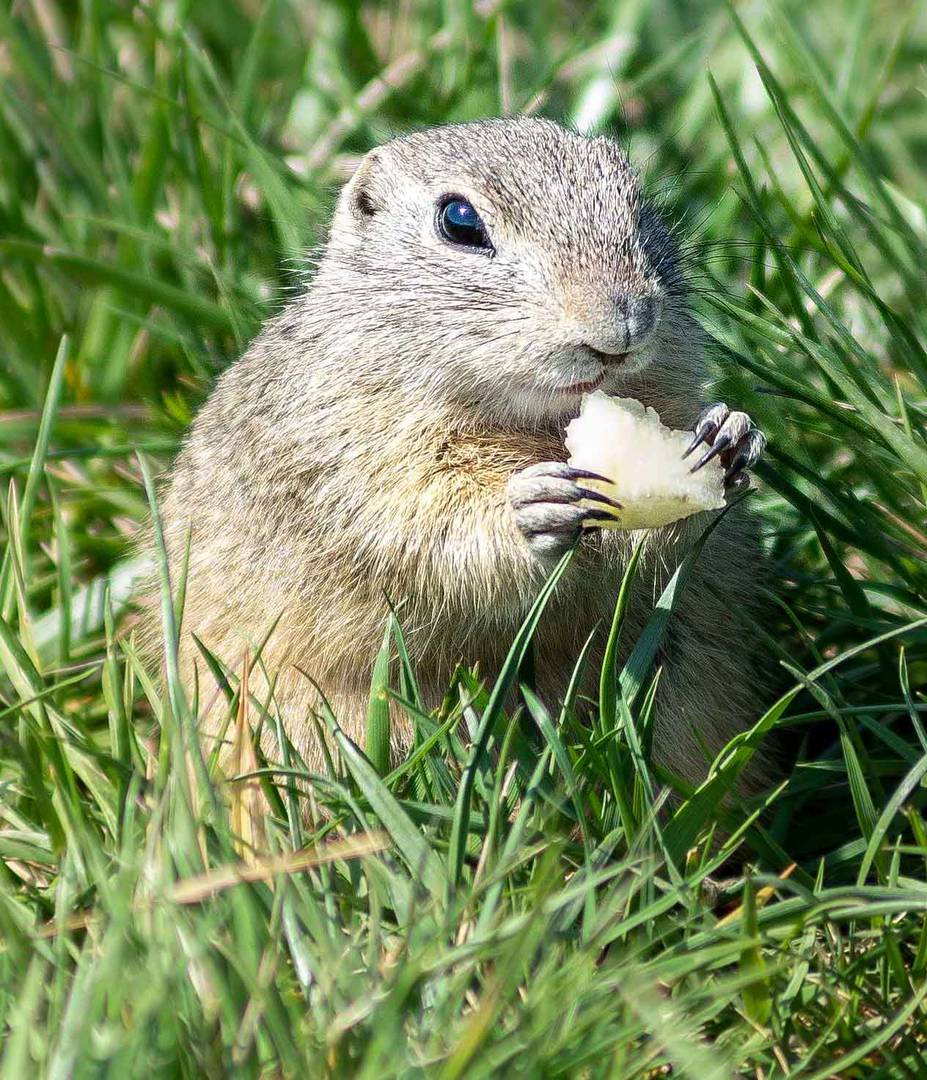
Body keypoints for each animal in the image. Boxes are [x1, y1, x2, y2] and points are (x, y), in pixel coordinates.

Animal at [151, 118, 769, 790]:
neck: (535, 422)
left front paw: (730, 435)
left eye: (637, 202)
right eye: (459, 222)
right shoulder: (357, 465)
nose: (623, 324)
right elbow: (429, 531)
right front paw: (532, 507)